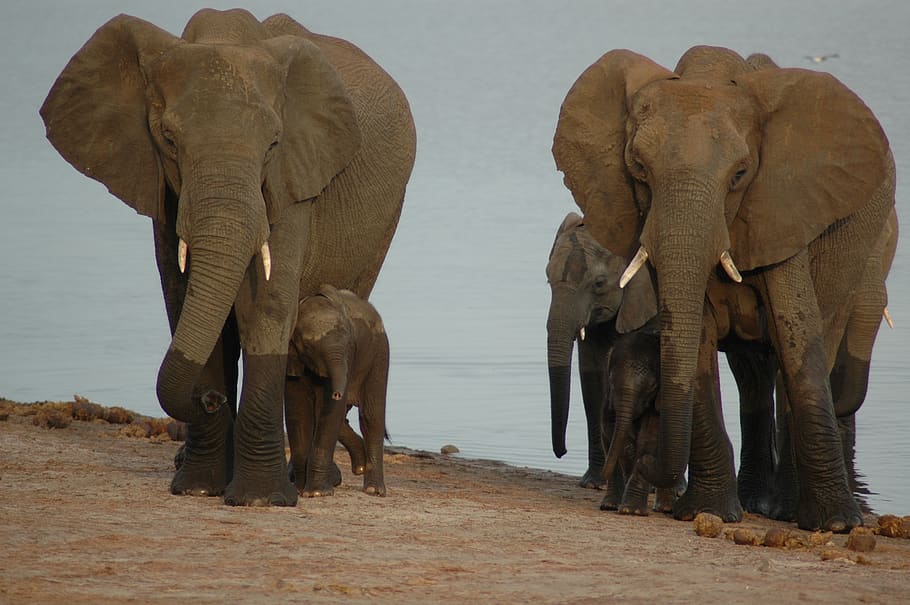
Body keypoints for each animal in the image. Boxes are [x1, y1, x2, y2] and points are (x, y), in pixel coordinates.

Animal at [285, 285, 389, 497]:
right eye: (307, 346)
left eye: (350, 344)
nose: (338, 393)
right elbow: (297, 410)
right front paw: (300, 490)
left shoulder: (349, 357)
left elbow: (330, 411)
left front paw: (316, 493)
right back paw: (360, 467)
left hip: (379, 353)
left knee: (371, 415)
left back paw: (374, 489)